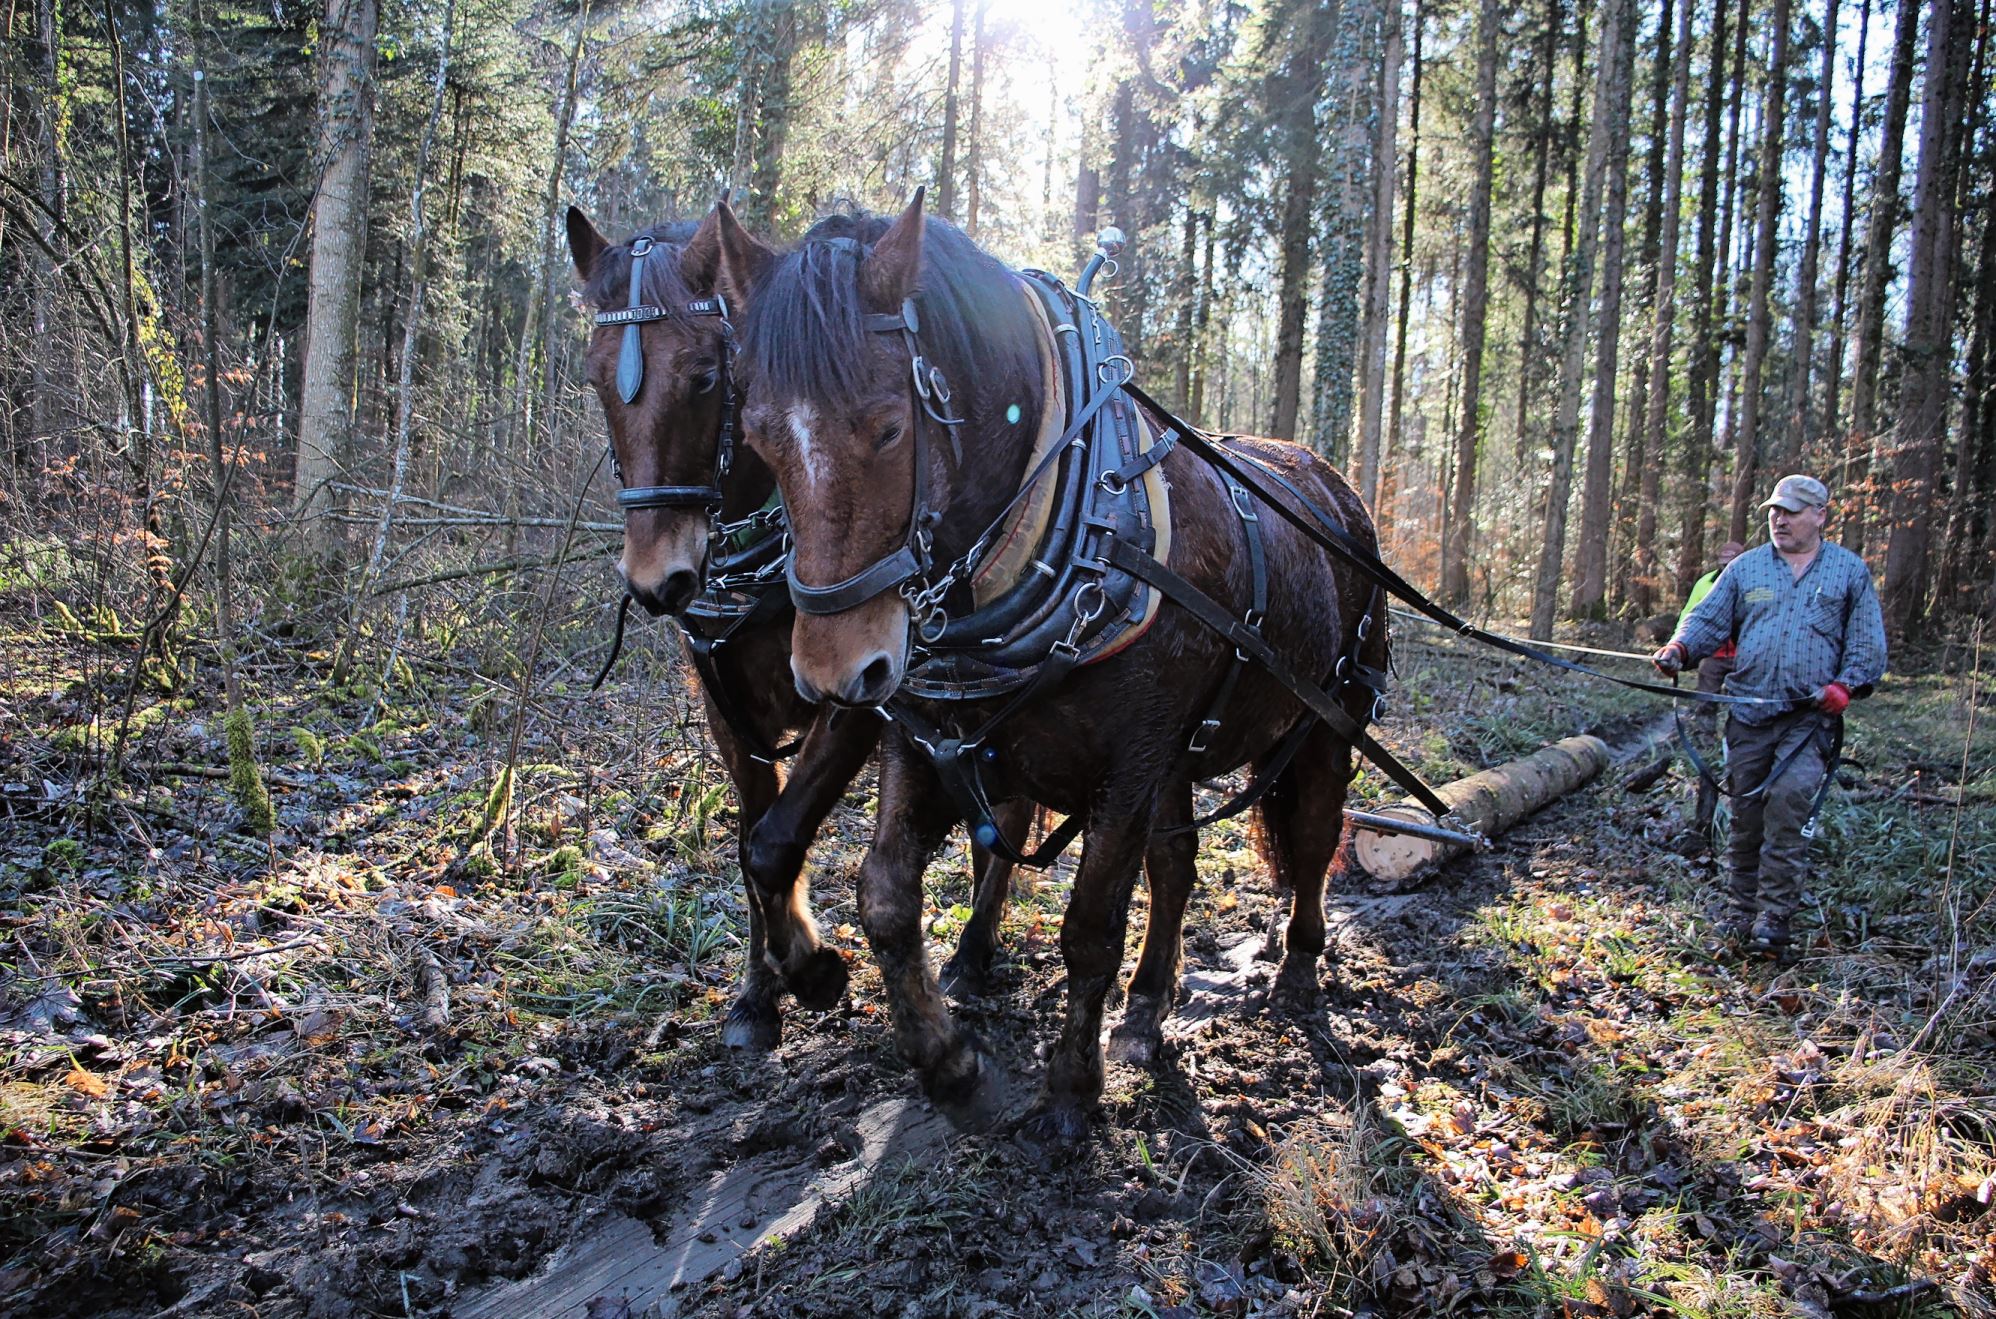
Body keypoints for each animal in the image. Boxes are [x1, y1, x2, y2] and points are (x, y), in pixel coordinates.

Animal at [562, 208, 1029, 1045]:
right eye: (595, 380)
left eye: (706, 377)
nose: (655, 580)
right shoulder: (727, 706)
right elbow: (751, 842)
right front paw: (759, 992)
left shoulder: (858, 696)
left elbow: (777, 840)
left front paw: (813, 969)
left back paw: (974, 950)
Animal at [718, 192, 1389, 1133]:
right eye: (757, 436)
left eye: (889, 427)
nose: (833, 675)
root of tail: (1336, 486)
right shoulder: (932, 736)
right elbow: (884, 894)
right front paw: (950, 1064)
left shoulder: (1130, 762)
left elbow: (1090, 927)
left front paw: (1071, 1093)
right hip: (1178, 756)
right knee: (1178, 868)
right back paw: (1144, 1013)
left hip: (1327, 725)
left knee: (1318, 840)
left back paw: (1295, 974)